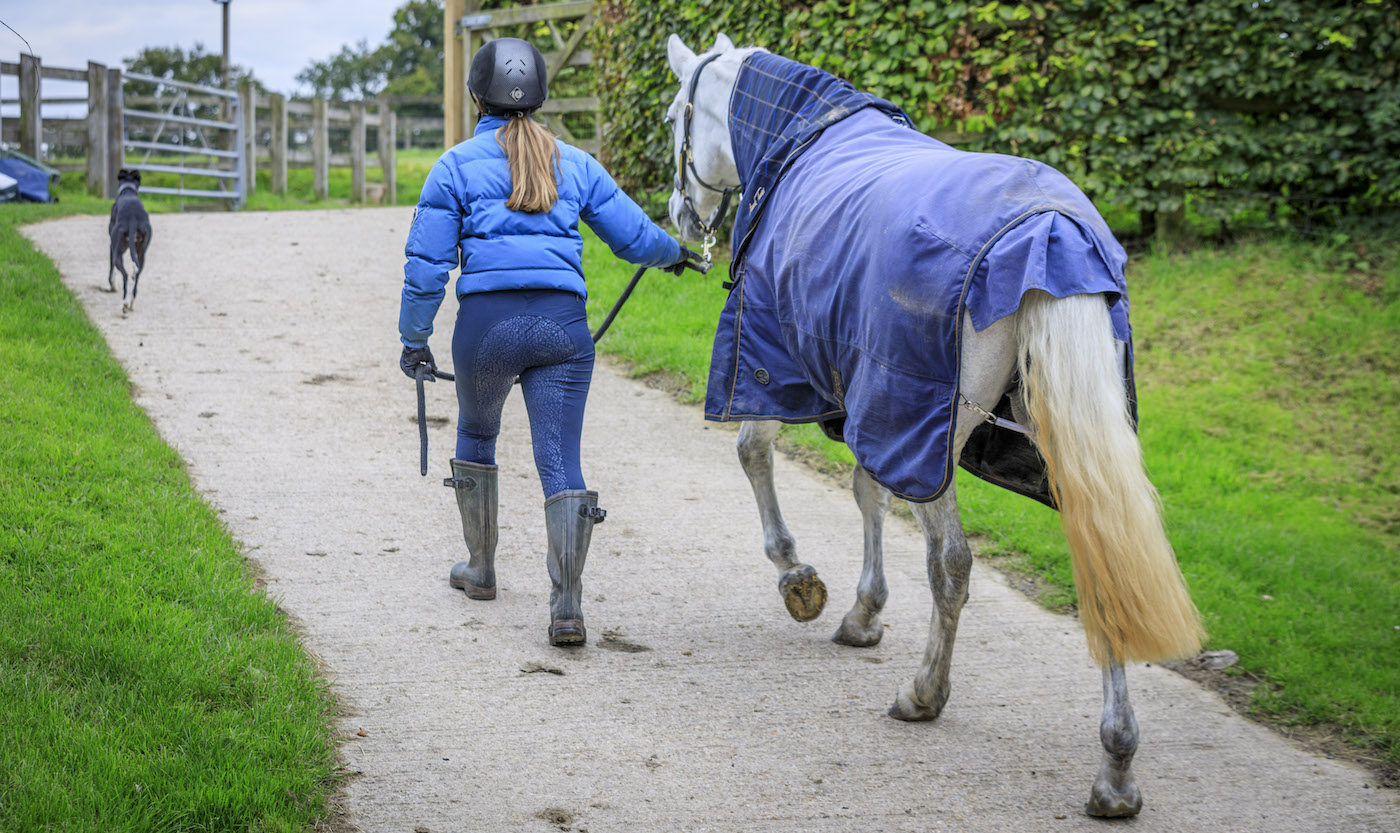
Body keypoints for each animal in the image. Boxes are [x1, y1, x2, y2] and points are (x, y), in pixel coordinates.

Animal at [663, 33, 1205, 817]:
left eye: (673, 115)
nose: (680, 214)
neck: (803, 136)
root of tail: (1051, 233)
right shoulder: (870, 401)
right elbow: (868, 491)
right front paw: (864, 612)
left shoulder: (790, 365)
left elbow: (755, 453)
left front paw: (800, 578)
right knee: (1104, 562)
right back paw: (1116, 769)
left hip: (935, 427)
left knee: (951, 564)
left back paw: (924, 694)